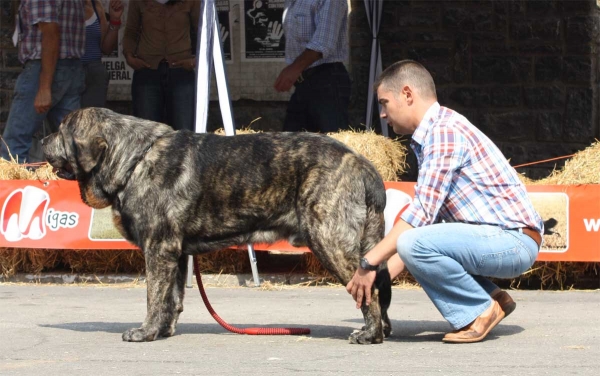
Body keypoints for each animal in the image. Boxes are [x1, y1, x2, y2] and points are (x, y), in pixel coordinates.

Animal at [41, 108, 390, 344]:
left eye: (61, 130)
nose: (43, 139)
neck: (134, 158)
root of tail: (361, 162)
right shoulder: (175, 253)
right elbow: (172, 298)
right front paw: (163, 330)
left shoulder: (158, 249)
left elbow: (154, 295)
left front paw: (146, 331)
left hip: (328, 240)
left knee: (367, 288)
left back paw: (370, 334)